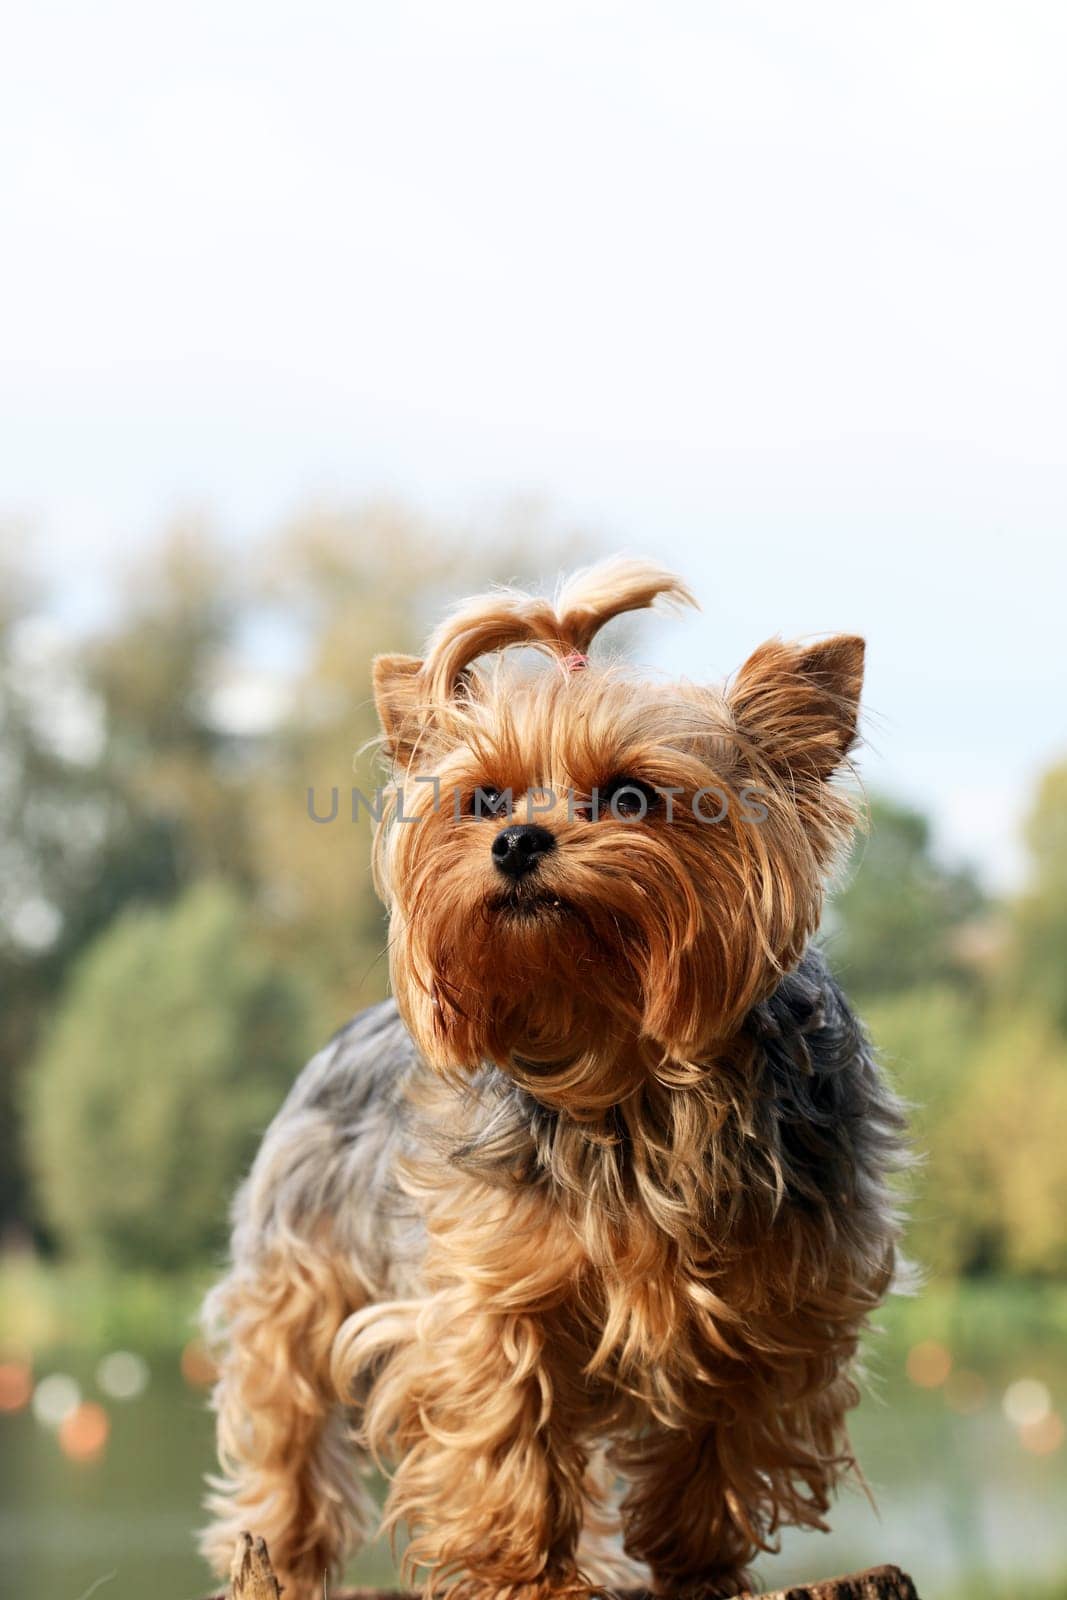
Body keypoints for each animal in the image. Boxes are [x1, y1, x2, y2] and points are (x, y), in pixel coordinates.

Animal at [198, 560, 902, 1600]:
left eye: (630, 796)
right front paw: (527, 1573)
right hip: (294, 1281)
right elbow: (508, 1432)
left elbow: (720, 1439)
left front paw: (698, 1562)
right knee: (286, 1424)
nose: (518, 842)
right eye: (484, 801)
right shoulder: (485, 1293)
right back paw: (281, 1557)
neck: (617, 1056)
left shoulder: (780, 1301)